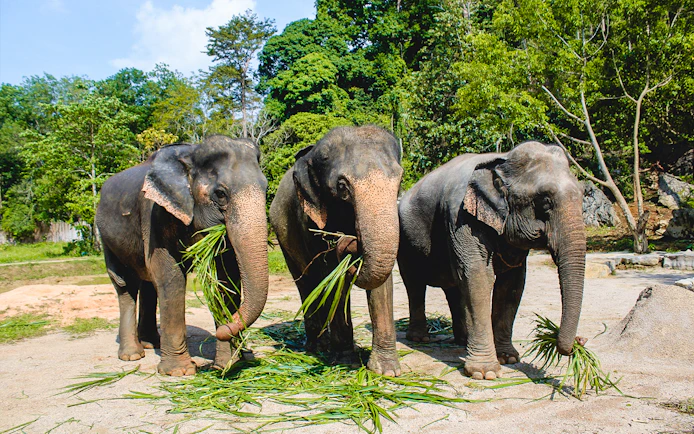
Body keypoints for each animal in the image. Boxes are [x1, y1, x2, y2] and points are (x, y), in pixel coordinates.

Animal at [95, 135, 269, 376]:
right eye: (220, 194)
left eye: (266, 188)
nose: (224, 330)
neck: (191, 153)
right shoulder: (154, 212)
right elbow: (171, 275)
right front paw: (180, 372)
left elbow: (226, 279)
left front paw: (229, 364)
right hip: (105, 237)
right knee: (125, 284)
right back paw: (132, 355)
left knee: (148, 284)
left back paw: (151, 343)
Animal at [269, 125, 403, 376]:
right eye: (342, 187)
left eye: (400, 181)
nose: (350, 240)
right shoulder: (311, 221)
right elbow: (333, 277)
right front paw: (345, 362)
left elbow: (382, 284)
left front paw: (386, 371)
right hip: (283, 239)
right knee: (307, 283)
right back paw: (317, 347)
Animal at [397, 141, 585, 380]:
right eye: (545, 202)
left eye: (583, 195)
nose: (580, 341)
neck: (502, 159)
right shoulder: (461, 217)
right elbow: (478, 277)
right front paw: (485, 373)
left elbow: (512, 284)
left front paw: (509, 358)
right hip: (404, 241)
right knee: (414, 284)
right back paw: (420, 338)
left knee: (454, 287)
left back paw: (462, 340)